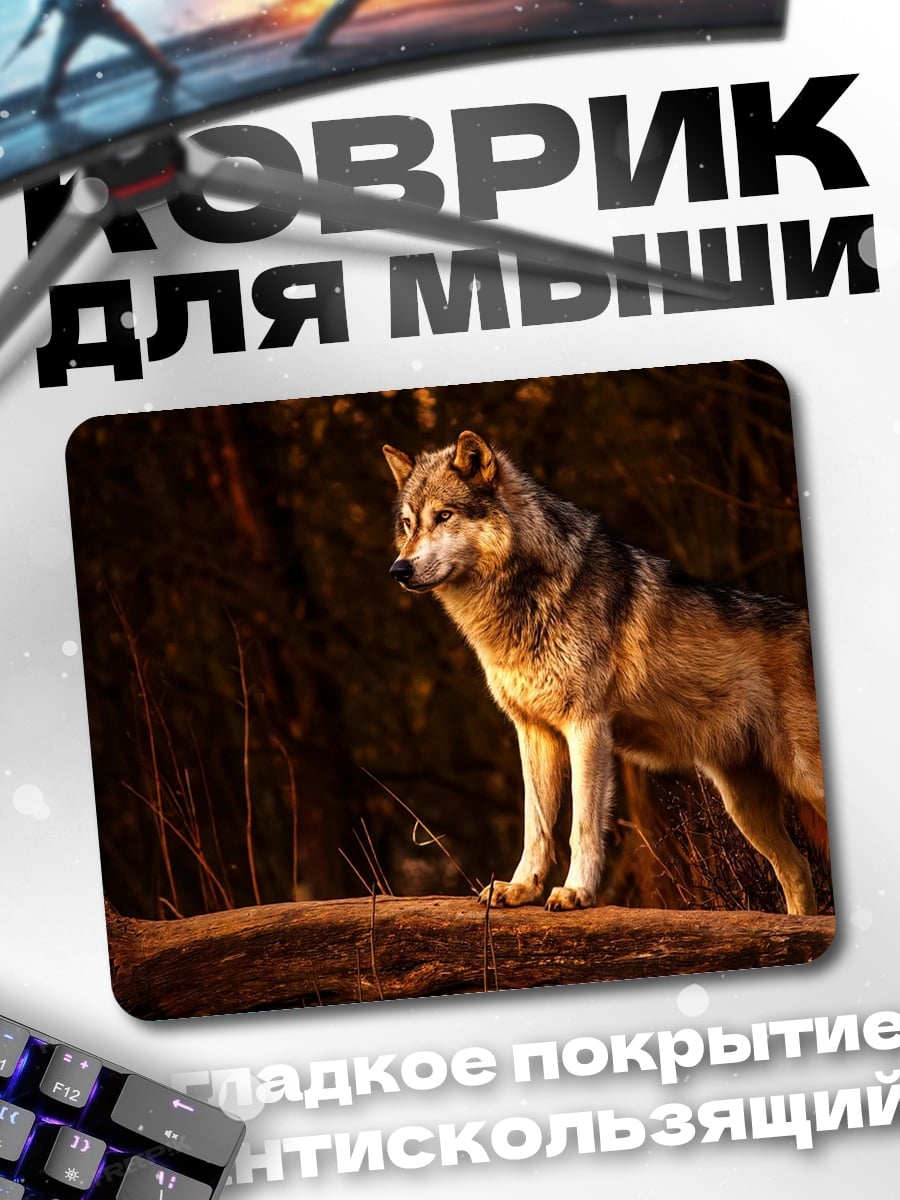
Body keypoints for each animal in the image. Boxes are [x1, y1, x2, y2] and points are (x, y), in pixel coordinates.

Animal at [383, 431, 827, 916]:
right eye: (408, 524)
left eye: (443, 516)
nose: (399, 569)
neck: (524, 600)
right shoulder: (533, 731)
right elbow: (536, 826)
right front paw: (520, 888)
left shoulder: (587, 727)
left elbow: (581, 827)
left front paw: (576, 892)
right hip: (744, 803)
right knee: (798, 868)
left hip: (802, 778)